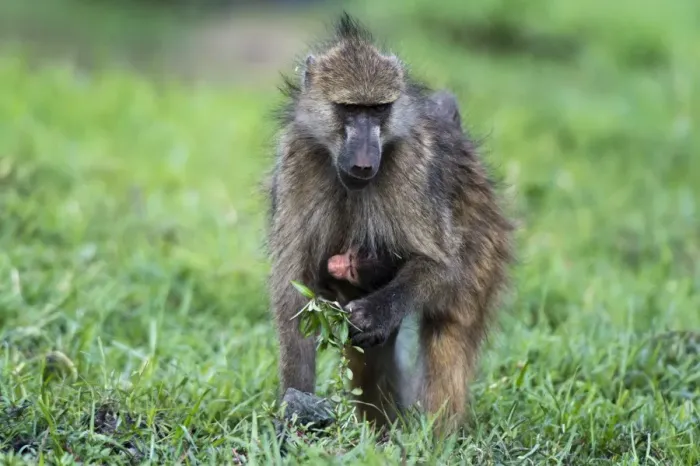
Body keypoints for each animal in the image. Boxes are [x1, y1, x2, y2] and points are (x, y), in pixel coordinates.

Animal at [265, 12, 514, 433]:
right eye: (350, 110)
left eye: (378, 110)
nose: (365, 162)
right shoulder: (297, 158)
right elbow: (294, 293)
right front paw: (296, 406)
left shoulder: (410, 168)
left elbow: (442, 266)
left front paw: (374, 314)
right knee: (368, 363)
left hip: (485, 238)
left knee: (448, 341)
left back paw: (435, 438)